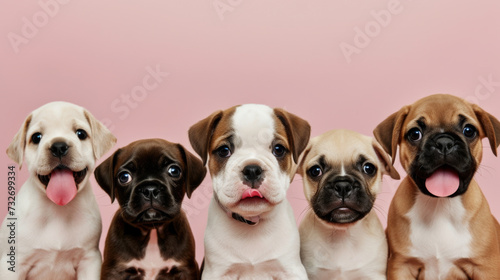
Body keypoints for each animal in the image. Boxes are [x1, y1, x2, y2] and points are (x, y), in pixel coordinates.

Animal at [0, 101, 116, 278]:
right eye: (36, 137)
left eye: (81, 134)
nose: (59, 146)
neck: (57, 209)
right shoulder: (12, 264)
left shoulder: (89, 260)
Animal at [94, 139, 206, 280]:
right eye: (124, 177)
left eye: (174, 171)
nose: (150, 189)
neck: (152, 229)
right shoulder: (114, 270)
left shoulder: (186, 269)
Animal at [188, 104, 310, 278]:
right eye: (224, 150)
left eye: (278, 149)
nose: (252, 170)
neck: (252, 223)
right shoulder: (217, 272)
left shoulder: (291, 270)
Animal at [374, 94, 500, 280]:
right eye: (415, 134)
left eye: (469, 130)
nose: (444, 142)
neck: (440, 204)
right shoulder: (401, 265)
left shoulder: (485, 267)